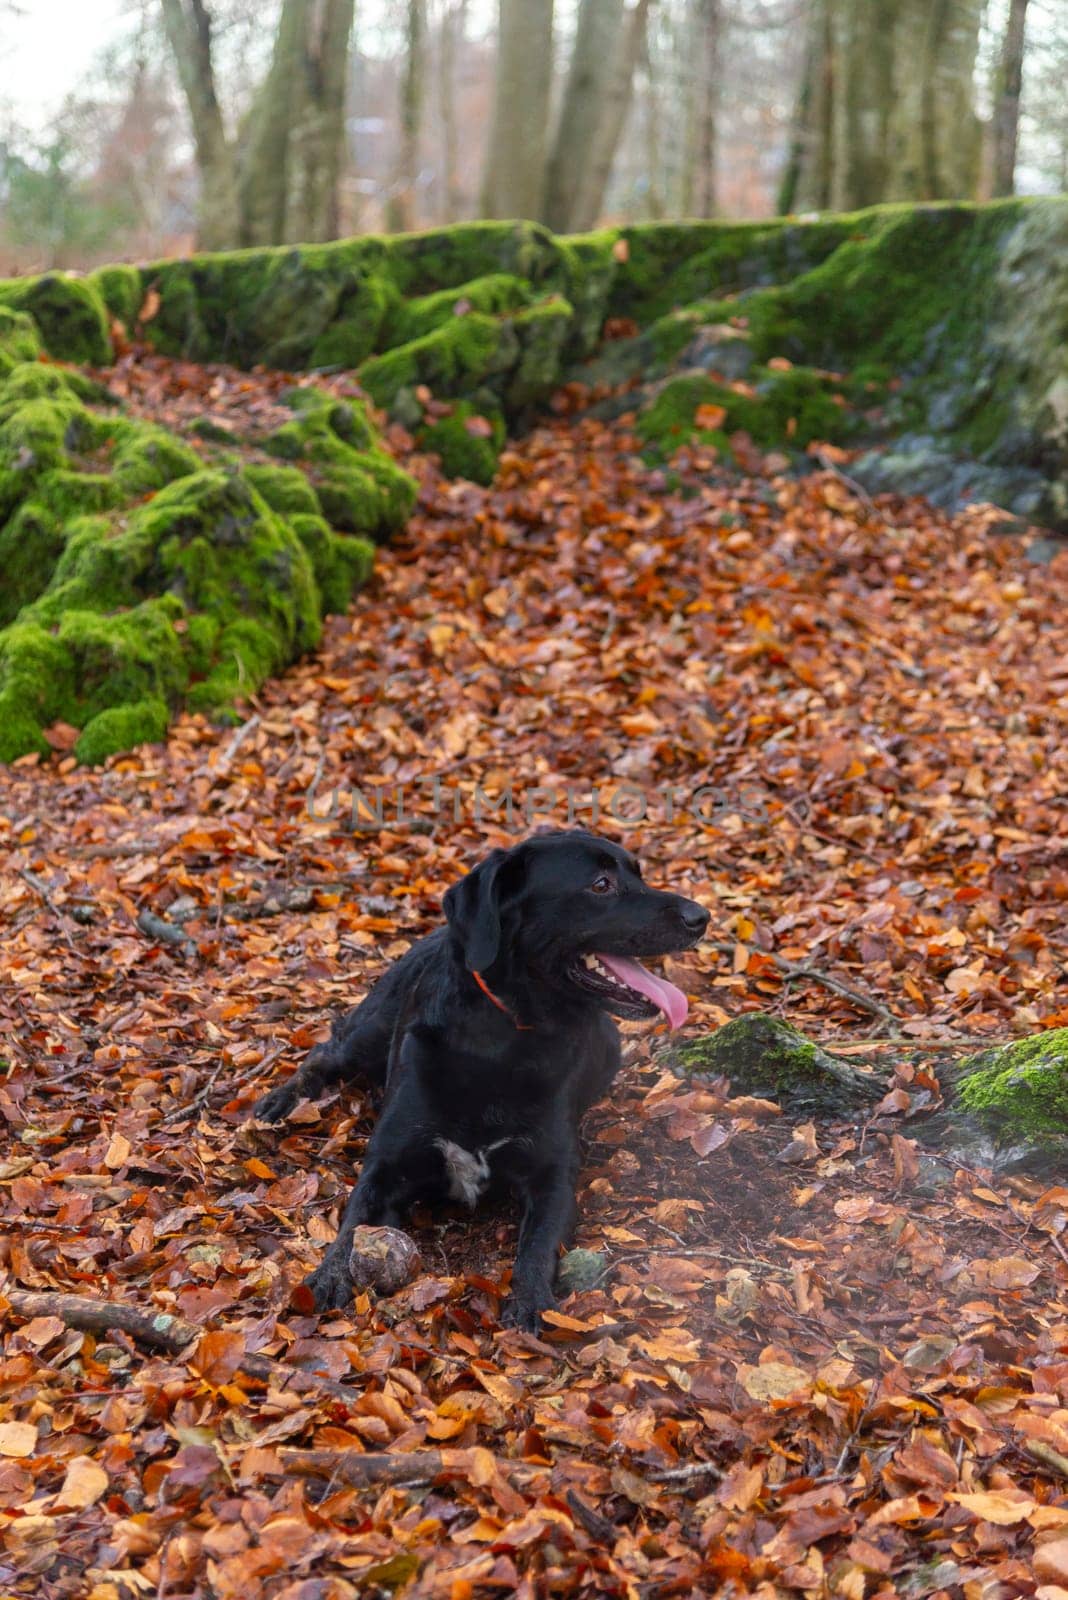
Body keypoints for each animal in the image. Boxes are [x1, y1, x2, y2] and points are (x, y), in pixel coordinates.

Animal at [255, 832, 709, 1331]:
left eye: (638, 873)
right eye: (601, 884)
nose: (701, 917)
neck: (503, 1037)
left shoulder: (553, 1176)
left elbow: (538, 1244)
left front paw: (530, 1300)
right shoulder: (387, 1162)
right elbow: (355, 1224)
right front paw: (330, 1273)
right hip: (371, 1032)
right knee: (325, 1052)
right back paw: (280, 1102)